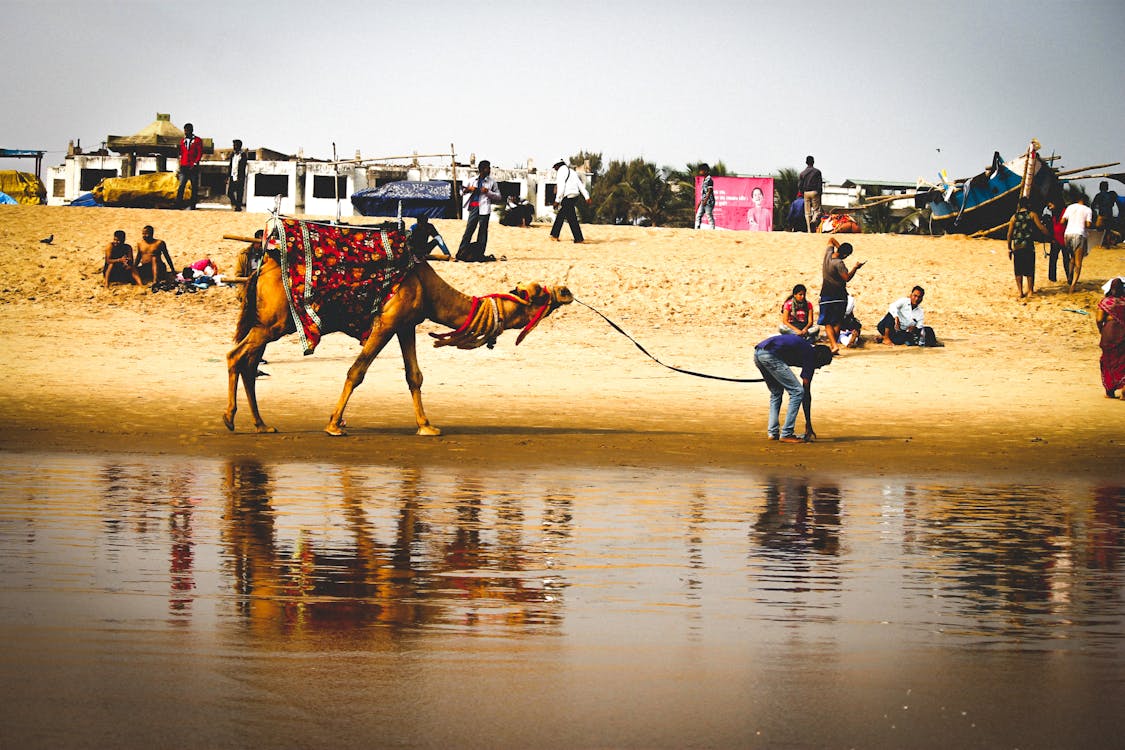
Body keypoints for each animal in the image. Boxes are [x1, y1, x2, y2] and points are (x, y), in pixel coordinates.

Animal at [222, 255, 571, 436]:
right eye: (538, 293)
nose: (564, 291)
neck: (429, 290)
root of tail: (259, 270)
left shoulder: (406, 325)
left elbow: (414, 376)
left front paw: (427, 426)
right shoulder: (386, 323)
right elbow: (356, 372)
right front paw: (334, 424)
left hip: (268, 323)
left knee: (249, 364)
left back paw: (262, 425)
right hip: (273, 324)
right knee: (236, 355)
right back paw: (230, 418)